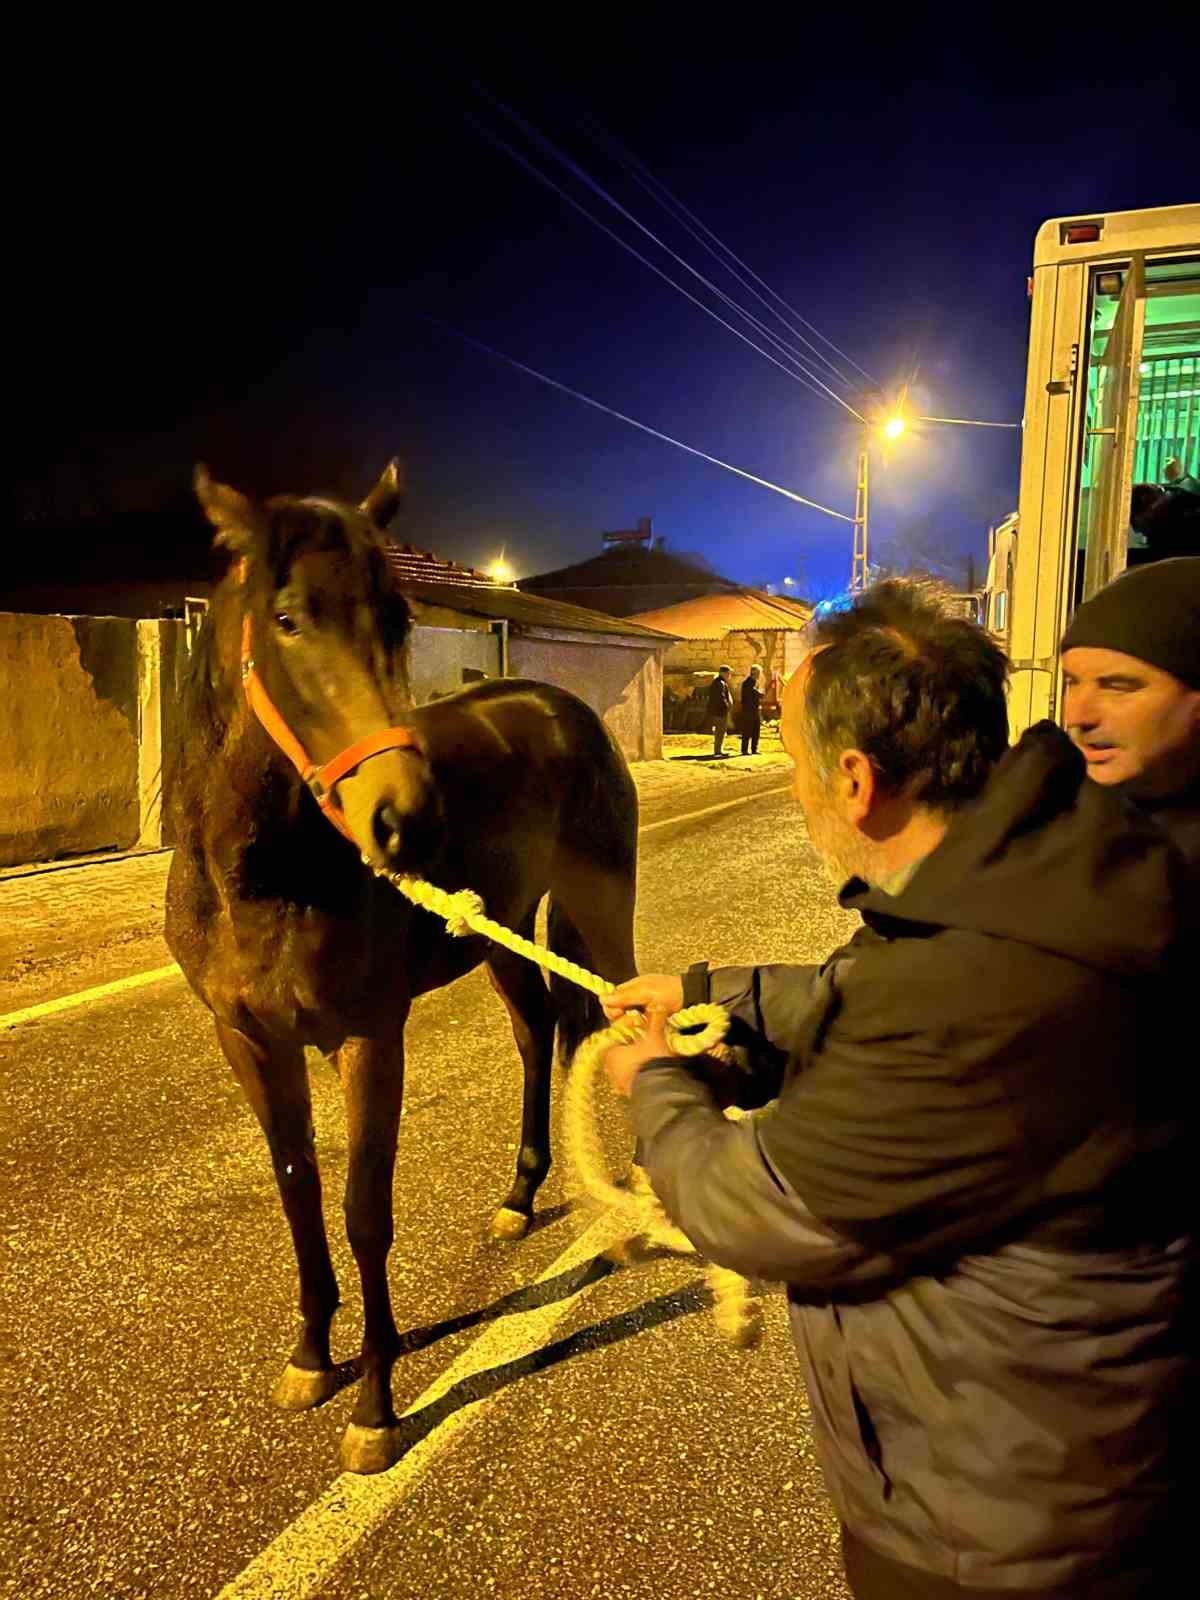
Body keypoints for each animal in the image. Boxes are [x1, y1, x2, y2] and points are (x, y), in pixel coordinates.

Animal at [167, 464, 649, 1472]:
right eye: (287, 618)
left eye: (397, 619)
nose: (408, 820)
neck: (264, 876)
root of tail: (565, 708)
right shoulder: (249, 1043)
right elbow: (299, 1194)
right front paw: (313, 1358)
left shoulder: (370, 1038)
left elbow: (363, 1210)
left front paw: (376, 1404)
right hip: (500, 933)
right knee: (536, 1033)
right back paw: (520, 1194)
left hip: (597, 910)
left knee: (617, 1016)